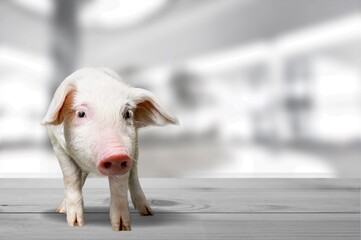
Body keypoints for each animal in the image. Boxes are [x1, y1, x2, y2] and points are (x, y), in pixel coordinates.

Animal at [41, 67, 178, 231]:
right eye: (81, 113)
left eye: (127, 114)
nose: (116, 155)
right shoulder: (57, 145)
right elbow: (72, 177)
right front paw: (75, 224)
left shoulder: (128, 150)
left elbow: (119, 185)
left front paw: (122, 228)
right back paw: (61, 210)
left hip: (135, 146)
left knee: (134, 175)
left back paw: (146, 212)